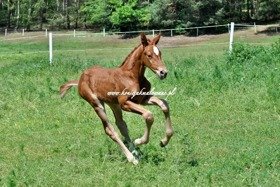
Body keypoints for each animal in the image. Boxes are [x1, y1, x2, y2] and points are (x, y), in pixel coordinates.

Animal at [59, 32, 173, 164]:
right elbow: (148, 115)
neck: (132, 76)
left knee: (121, 125)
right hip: (97, 104)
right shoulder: (125, 103)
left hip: (113, 104)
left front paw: (164, 141)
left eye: (160, 53)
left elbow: (164, 105)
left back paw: (135, 153)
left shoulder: (143, 99)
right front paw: (140, 141)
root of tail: (80, 79)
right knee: (110, 130)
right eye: (149, 55)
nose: (163, 72)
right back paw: (131, 158)